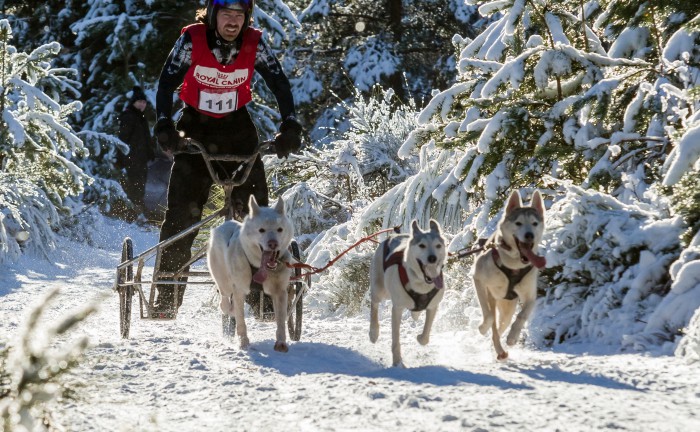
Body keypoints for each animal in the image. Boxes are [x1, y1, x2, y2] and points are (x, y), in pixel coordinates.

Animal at [208, 195, 296, 352]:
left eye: (280, 229)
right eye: (261, 230)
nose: (273, 243)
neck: (259, 266)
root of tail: (226, 223)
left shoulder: (280, 291)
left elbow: (281, 320)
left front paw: (281, 342)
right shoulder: (239, 290)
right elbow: (241, 321)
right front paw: (244, 343)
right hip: (224, 282)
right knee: (225, 302)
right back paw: (228, 308)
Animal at [370, 219, 446, 368]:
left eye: (438, 245)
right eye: (422, 245)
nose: (432, 258)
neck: (421, 282)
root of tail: (394, 235)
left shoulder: (433, 306)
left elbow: (425, 336)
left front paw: (420, 337)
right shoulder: (397, 309)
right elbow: (396, 339)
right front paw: (397, 362)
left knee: (415, 313)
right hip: (380, 289)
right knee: (374, 305)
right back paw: (374, 332)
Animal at [470, 191, 548, 360]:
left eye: (534, 223)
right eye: (518, 223)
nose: (529, 235)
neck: (514, 265)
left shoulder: (530, 296)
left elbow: (522, 316)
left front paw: (513, 337)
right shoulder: (478, 280)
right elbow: (488, 317)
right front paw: (482, 328)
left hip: (507, 309)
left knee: (500, 328)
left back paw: (500, 349)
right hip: (491, 297)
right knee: (493, 323)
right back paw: (497, 347)